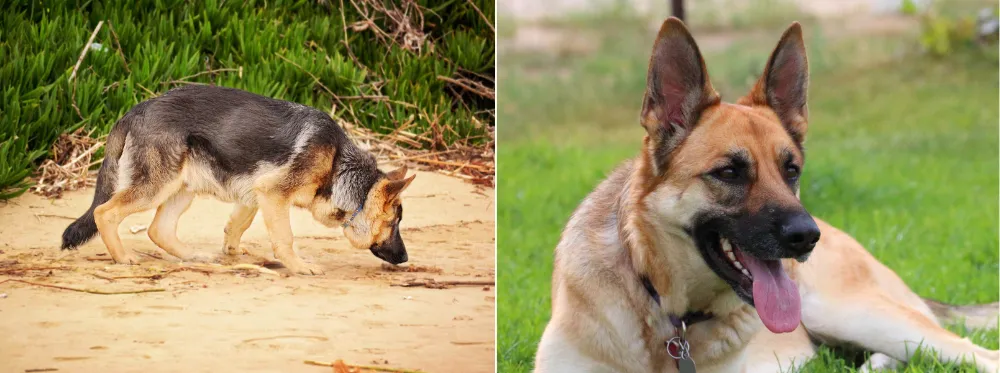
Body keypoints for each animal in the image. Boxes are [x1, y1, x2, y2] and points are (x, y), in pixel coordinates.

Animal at [61, 85, 414, 274]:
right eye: (394, 223)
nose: (406, 258)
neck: (338, 164)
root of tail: (135, 110)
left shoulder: (256, 193)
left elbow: (238, 225)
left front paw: (232, 251)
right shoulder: (273, 194)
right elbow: (285, 238)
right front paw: (298, 266)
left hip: (182, 188)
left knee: (158, 229)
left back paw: (193, 256)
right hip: (154, 188)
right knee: (104, 212)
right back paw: (123, 258)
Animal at [536, 18, 996, 372]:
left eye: (791, 170)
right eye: (729, 172)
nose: (807, 238)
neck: (668, 314)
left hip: (855, 313)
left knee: (977, 355)